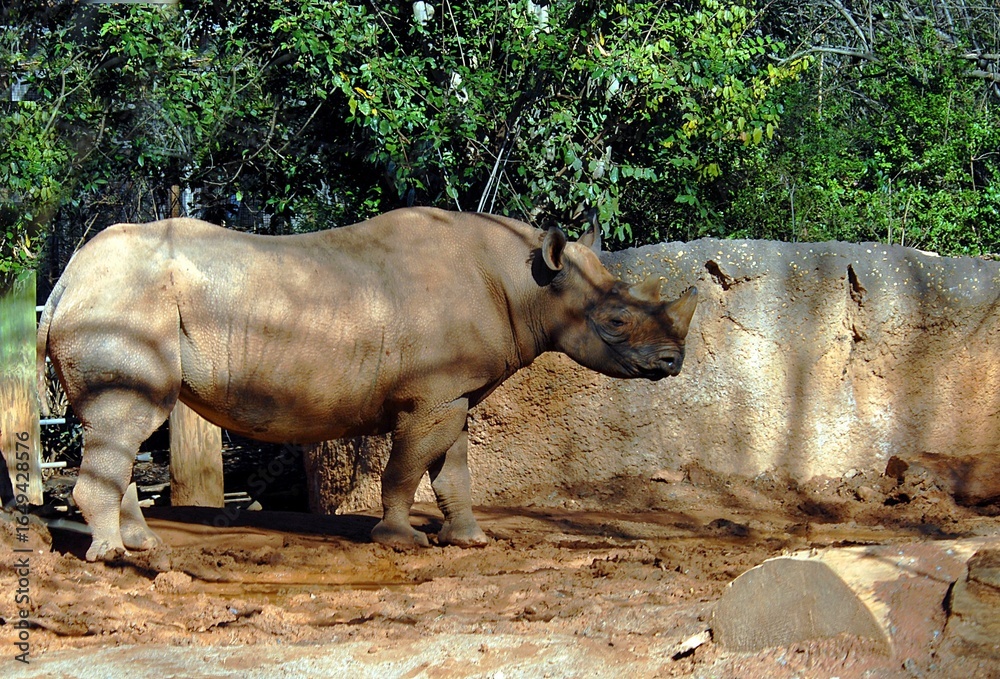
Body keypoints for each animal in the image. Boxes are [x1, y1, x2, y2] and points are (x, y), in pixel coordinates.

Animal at [37, 207, 697, 561]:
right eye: (616, 322)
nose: (673, 362)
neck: (528, 281)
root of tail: (67, 280)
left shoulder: (452, 393)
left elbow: (453, 470)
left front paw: (470, 541)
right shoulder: (431, 393)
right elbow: (405, 468)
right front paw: (399, 541)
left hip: (120, 299)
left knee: (121, 429)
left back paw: (141, 547)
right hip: (123, 306)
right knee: (127, 420)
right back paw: (114, 558)